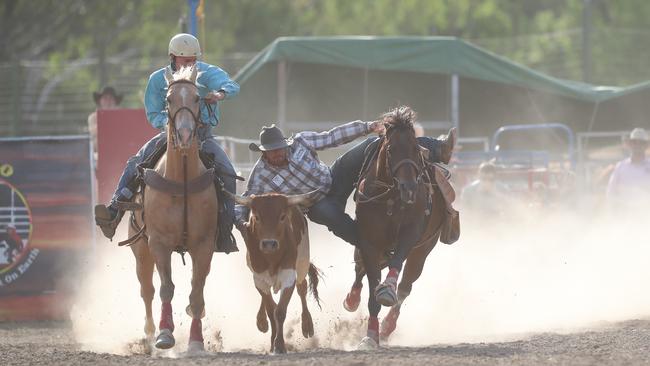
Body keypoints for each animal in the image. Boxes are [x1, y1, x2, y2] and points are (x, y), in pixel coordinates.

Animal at [126, 66, 218, 352]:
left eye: (198, 98)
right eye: (168, 99)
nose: (186, 134)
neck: (182, 180)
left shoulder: (204, 245)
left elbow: (197, 291)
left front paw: (196, 341)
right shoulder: (158, 243)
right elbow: (166, 288)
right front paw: (165, 334)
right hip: (140, 249)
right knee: (146, 289)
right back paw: (148, 334)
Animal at [342, 106, 448, 348]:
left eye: (415, 149)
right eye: (390, 150)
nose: (408, 187)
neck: (391, 196)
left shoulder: (410, 236)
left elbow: (396, 267)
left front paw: (387, 292)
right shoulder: (368, 242)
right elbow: (371, 286)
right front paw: (370, 336)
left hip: (422, 250)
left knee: (405, 287)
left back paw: (388, 325)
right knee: (359, 270)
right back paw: (352, 300)